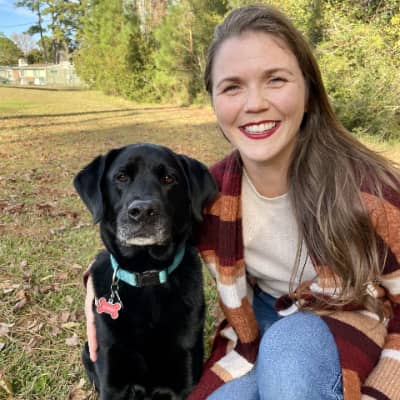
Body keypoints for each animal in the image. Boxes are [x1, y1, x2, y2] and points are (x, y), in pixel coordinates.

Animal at [73, 143, 218, 400]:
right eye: (121, 176)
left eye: (169, 178)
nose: (143, 211)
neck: (146, 273)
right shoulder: (112, 381)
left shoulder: (184, 382)